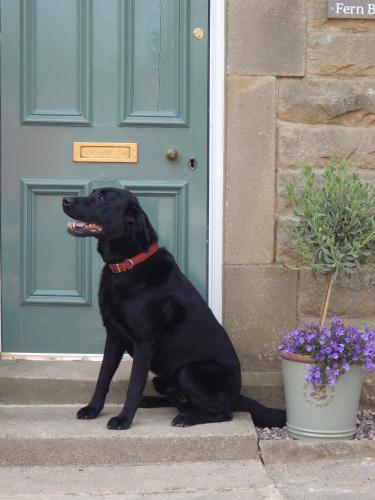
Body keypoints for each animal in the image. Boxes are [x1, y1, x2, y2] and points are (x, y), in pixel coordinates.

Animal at [62, 188, 284, 430]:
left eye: (102, 198)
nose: (65, 200)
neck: (128, 265)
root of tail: (238, 396)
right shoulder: (114, 337)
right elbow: (103, 376)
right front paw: (93, 409)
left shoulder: (144, 342)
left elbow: (133, 385)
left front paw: (124, 419)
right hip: (163, 378)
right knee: (180, 401)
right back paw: (152, 401)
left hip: (189, 372)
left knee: (223, 412)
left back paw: (187, 418)